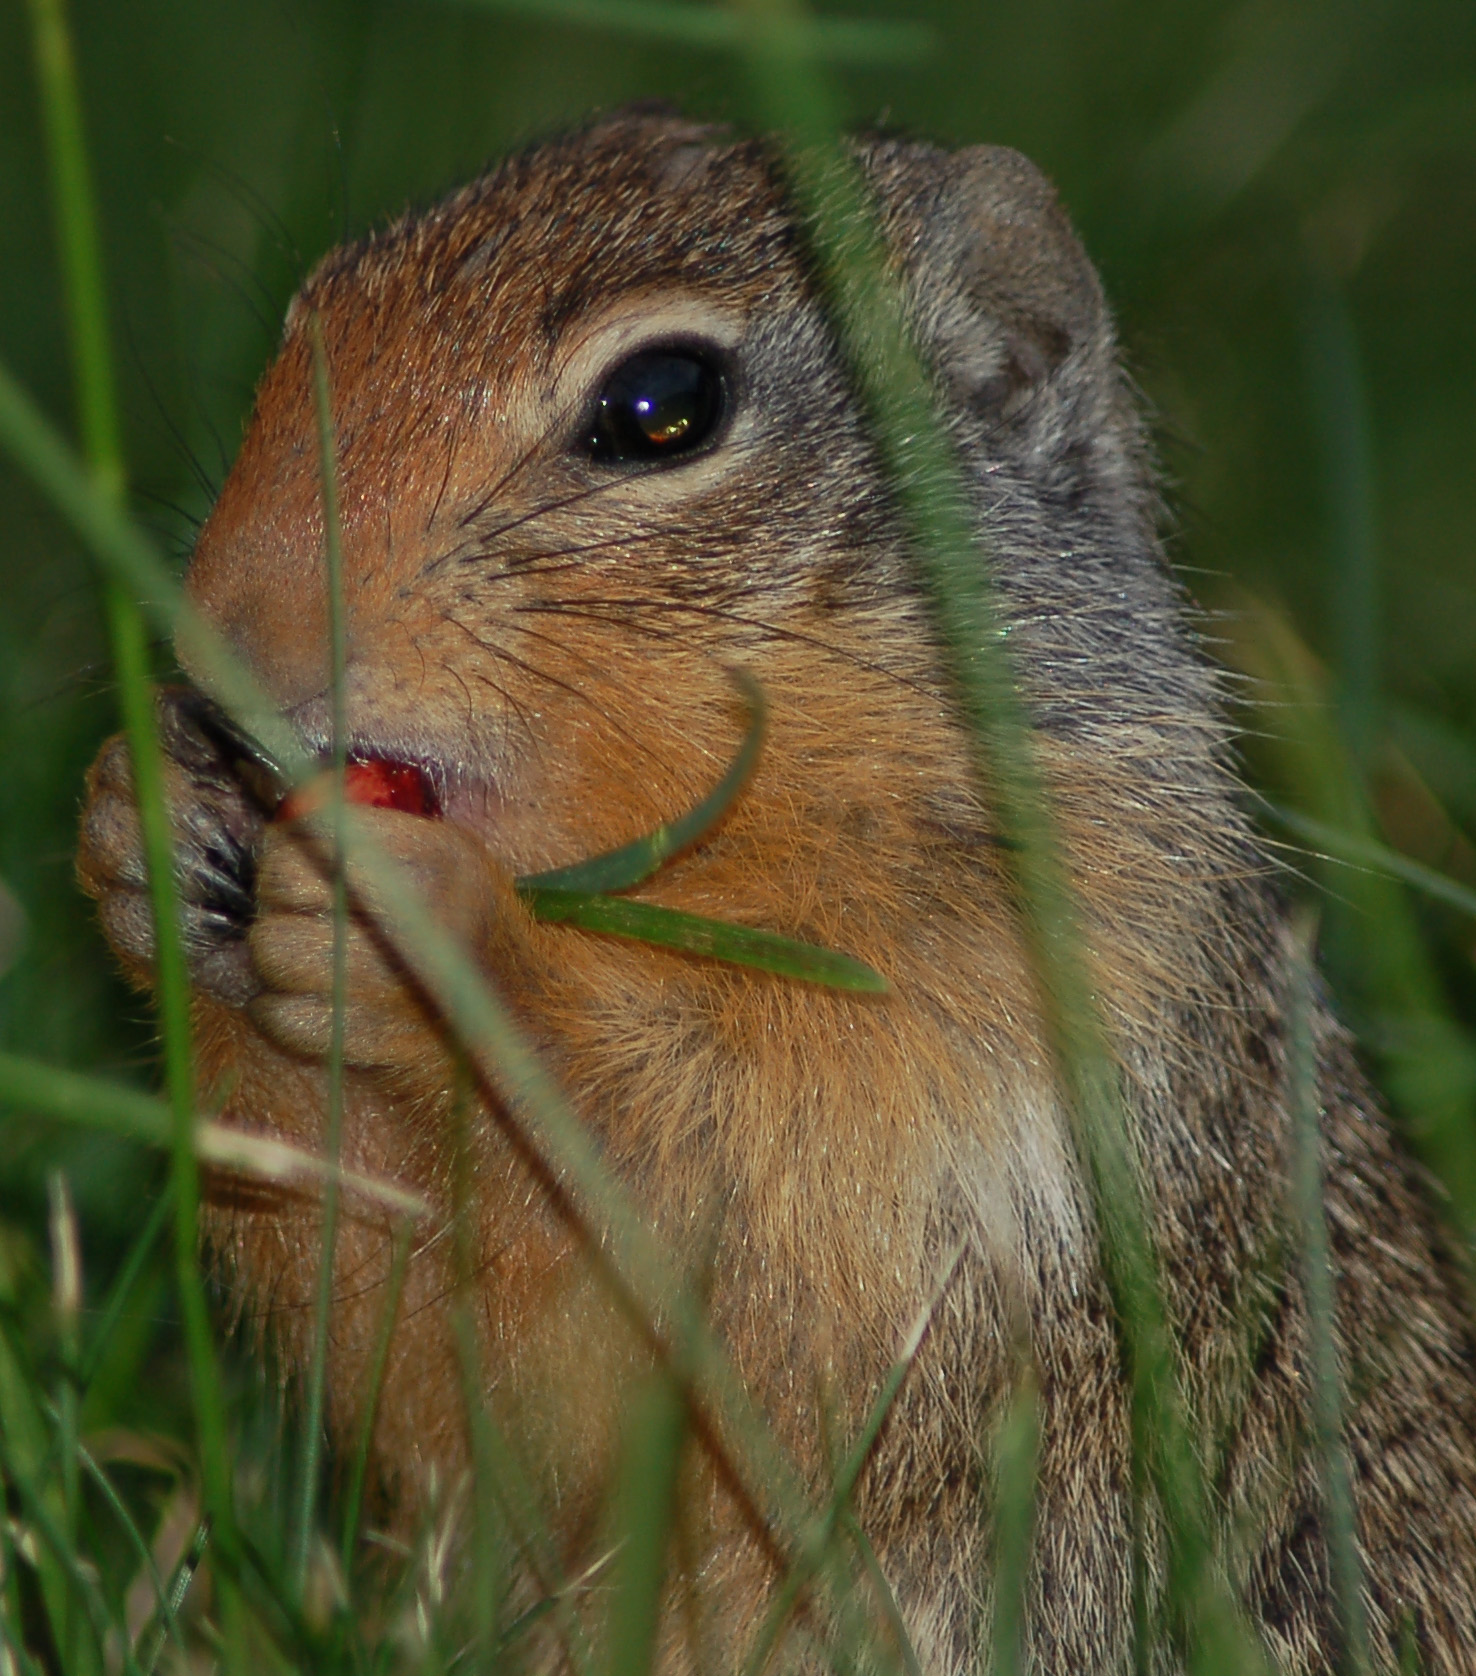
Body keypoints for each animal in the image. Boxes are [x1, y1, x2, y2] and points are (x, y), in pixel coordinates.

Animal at [72, 111, 1476, 1669]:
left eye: (663, 403)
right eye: (309, 312)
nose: (222, 641)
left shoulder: (1022, 1039)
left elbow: (764, 1202)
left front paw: (439, 934)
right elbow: (448, 1366)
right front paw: (142, 823)